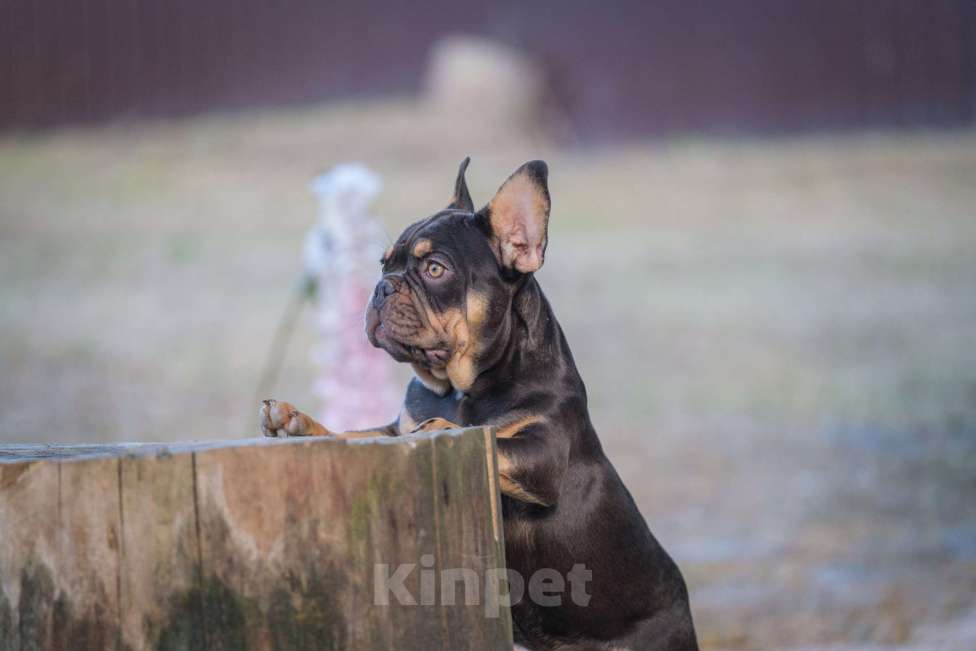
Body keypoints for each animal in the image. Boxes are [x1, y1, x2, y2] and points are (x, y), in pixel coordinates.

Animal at [260, 159, 700, 651]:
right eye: (383, 264)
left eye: (435, 269)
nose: (382, 288)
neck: (460, 389)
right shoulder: (393, 430)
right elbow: (357, 433)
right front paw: (297, 422)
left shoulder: (541, 454)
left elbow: (484, 434)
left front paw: (438, 427)